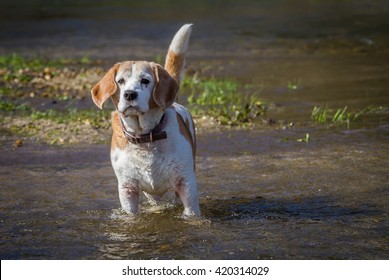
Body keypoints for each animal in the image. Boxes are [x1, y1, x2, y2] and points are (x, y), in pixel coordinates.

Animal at [91, 24, 200, 217]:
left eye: (145, 81)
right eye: (120, 81)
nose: (129, 94)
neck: (145, 138)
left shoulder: (186, 184)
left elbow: (191, 214)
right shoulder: (127, 189)